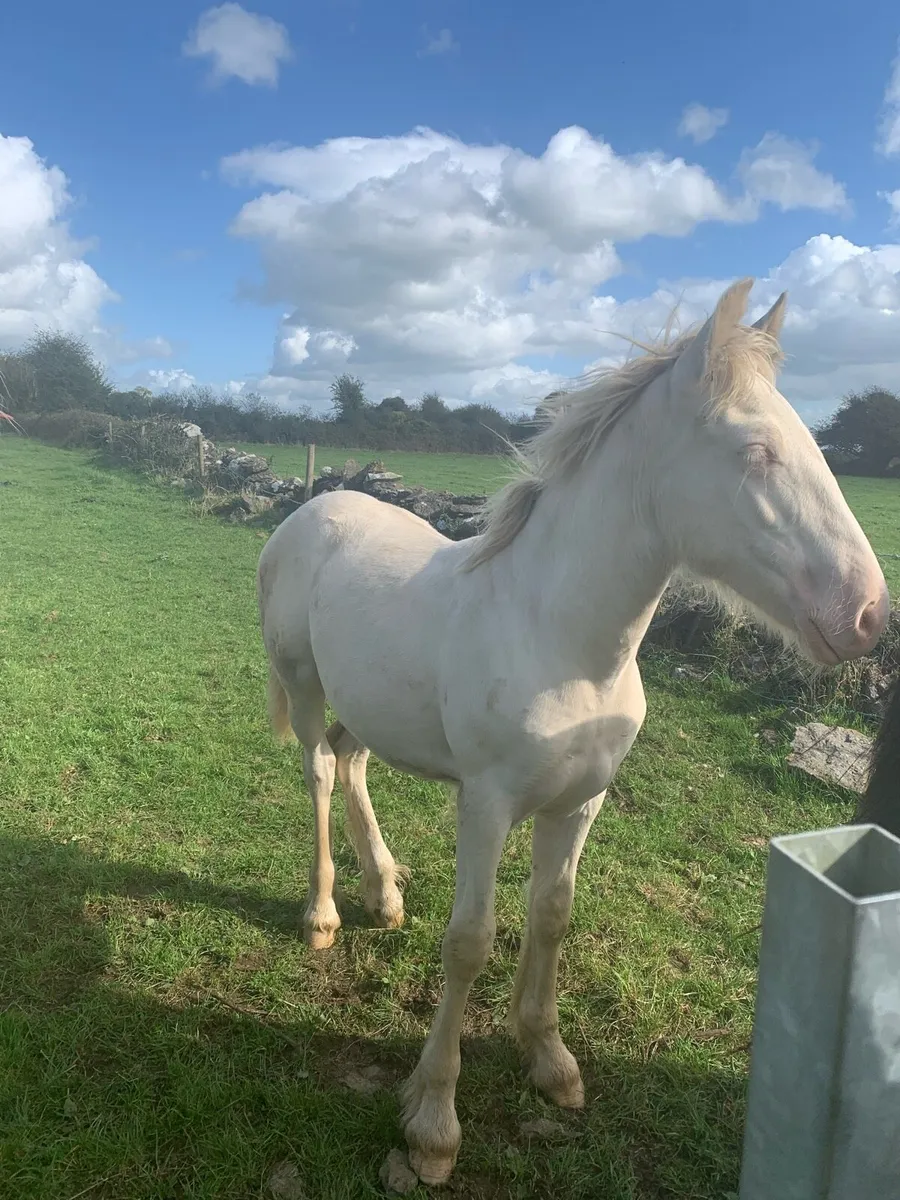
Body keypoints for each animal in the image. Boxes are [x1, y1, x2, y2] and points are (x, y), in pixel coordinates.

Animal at [256, 278, 889, 1185]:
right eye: (756, 450)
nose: (867, 613)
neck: (559, 638)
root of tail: (313, 509)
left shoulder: (581, 803)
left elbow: (553, 913)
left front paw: (549, 1061)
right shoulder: (486, 806)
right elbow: (471, 941)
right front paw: (433, 1122)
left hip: (370, 703)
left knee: (352, 761)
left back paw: (384, 893)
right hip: (305, 687)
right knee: (315, 768)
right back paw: (323, 916)